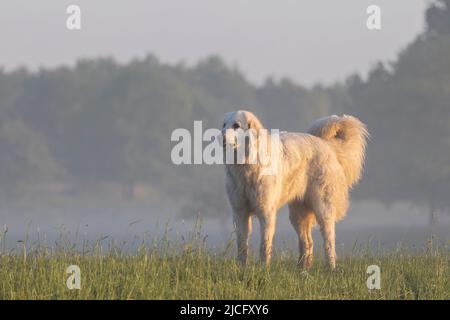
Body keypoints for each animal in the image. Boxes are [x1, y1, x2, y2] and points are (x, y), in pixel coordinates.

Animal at [220, 109, 368, 268]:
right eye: (224, 125)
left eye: (236, 125)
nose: (220, 137)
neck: (245, 166)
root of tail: (325, 144)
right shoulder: (239, 212)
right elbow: (242, 245)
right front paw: (242, 268)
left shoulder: (266, 212)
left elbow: (264, 245)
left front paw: (263, 269)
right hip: (297, 214)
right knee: (308, 243)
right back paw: (302, 269)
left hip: (323, 209)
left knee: (328, 241)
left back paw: (330, 268)